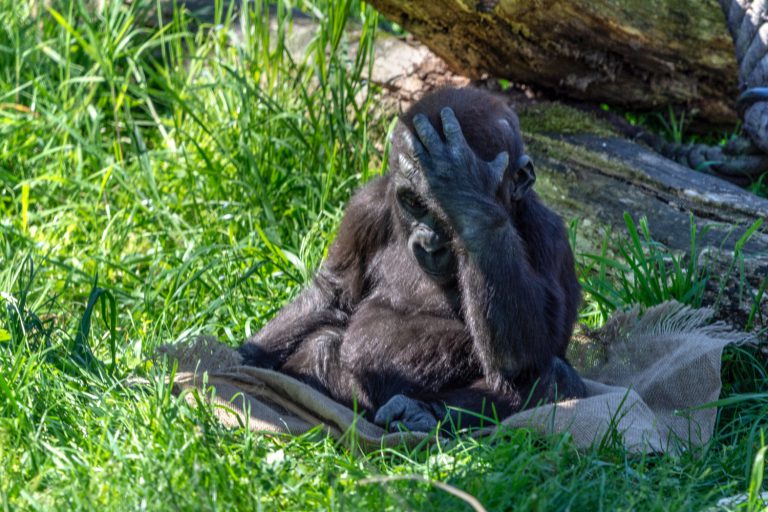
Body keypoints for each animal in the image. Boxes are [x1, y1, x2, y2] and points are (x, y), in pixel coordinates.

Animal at [237, 86, 584, 430]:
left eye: (448, 211)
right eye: (415, 202)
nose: (430, 242)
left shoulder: (550, 237)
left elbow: (523, 358)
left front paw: (461, 183)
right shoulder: (366, 207)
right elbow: (333, 294)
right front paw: (247, 355)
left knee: (552, 377)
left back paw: (420, 411)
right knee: (323, 345)